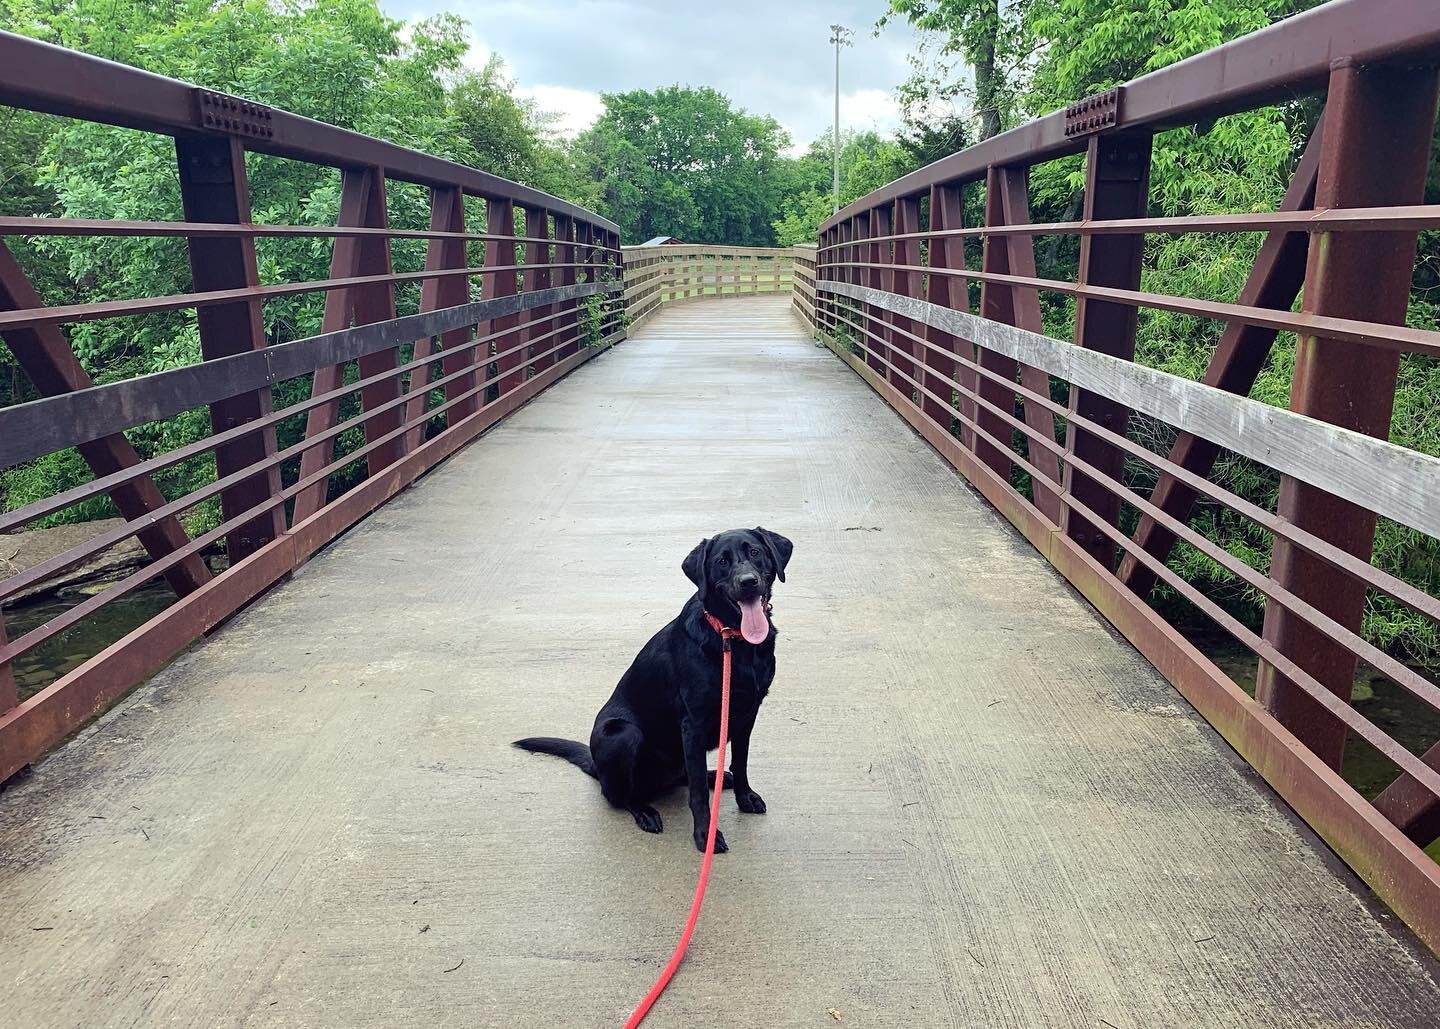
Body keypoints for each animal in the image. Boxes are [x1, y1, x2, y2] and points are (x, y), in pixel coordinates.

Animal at [515, 526, 794, 851]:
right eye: (722, 562)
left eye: (755, 552)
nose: (748, 582)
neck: (732, 639)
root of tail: (596, 766)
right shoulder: (693, 725)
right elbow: (698, 795)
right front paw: (705, 836)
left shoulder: (747, 714)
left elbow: (741, 761)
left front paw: (744, 796)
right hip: (623, 734)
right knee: (618, 795)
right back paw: (644, 811)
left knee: (685, 776)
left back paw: (716, 777)